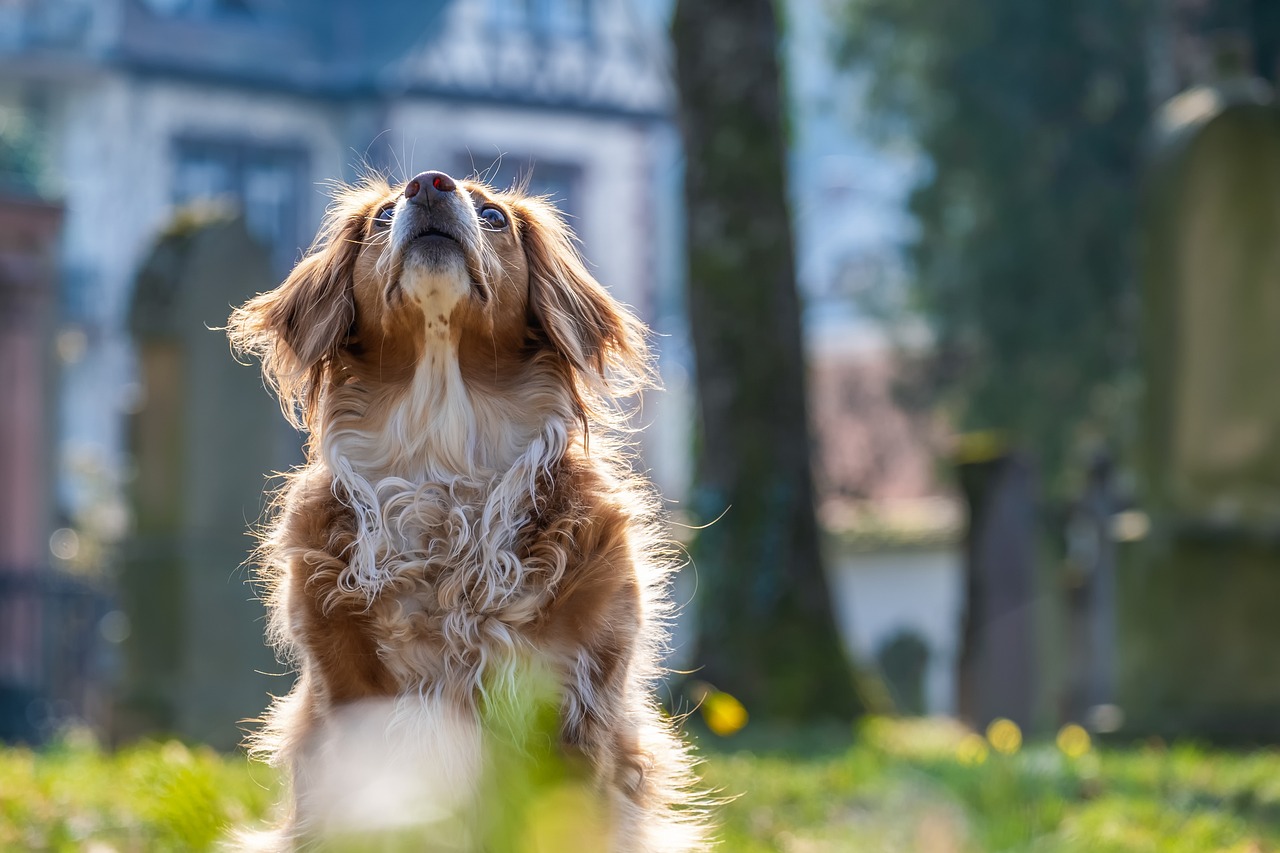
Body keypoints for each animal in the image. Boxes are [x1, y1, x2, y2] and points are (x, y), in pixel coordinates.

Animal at [230, 169, 711, 845]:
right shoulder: (351, 710)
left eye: (494, 217)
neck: (444, 455)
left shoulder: (574, 713)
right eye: (381, 217)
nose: (428, 184)